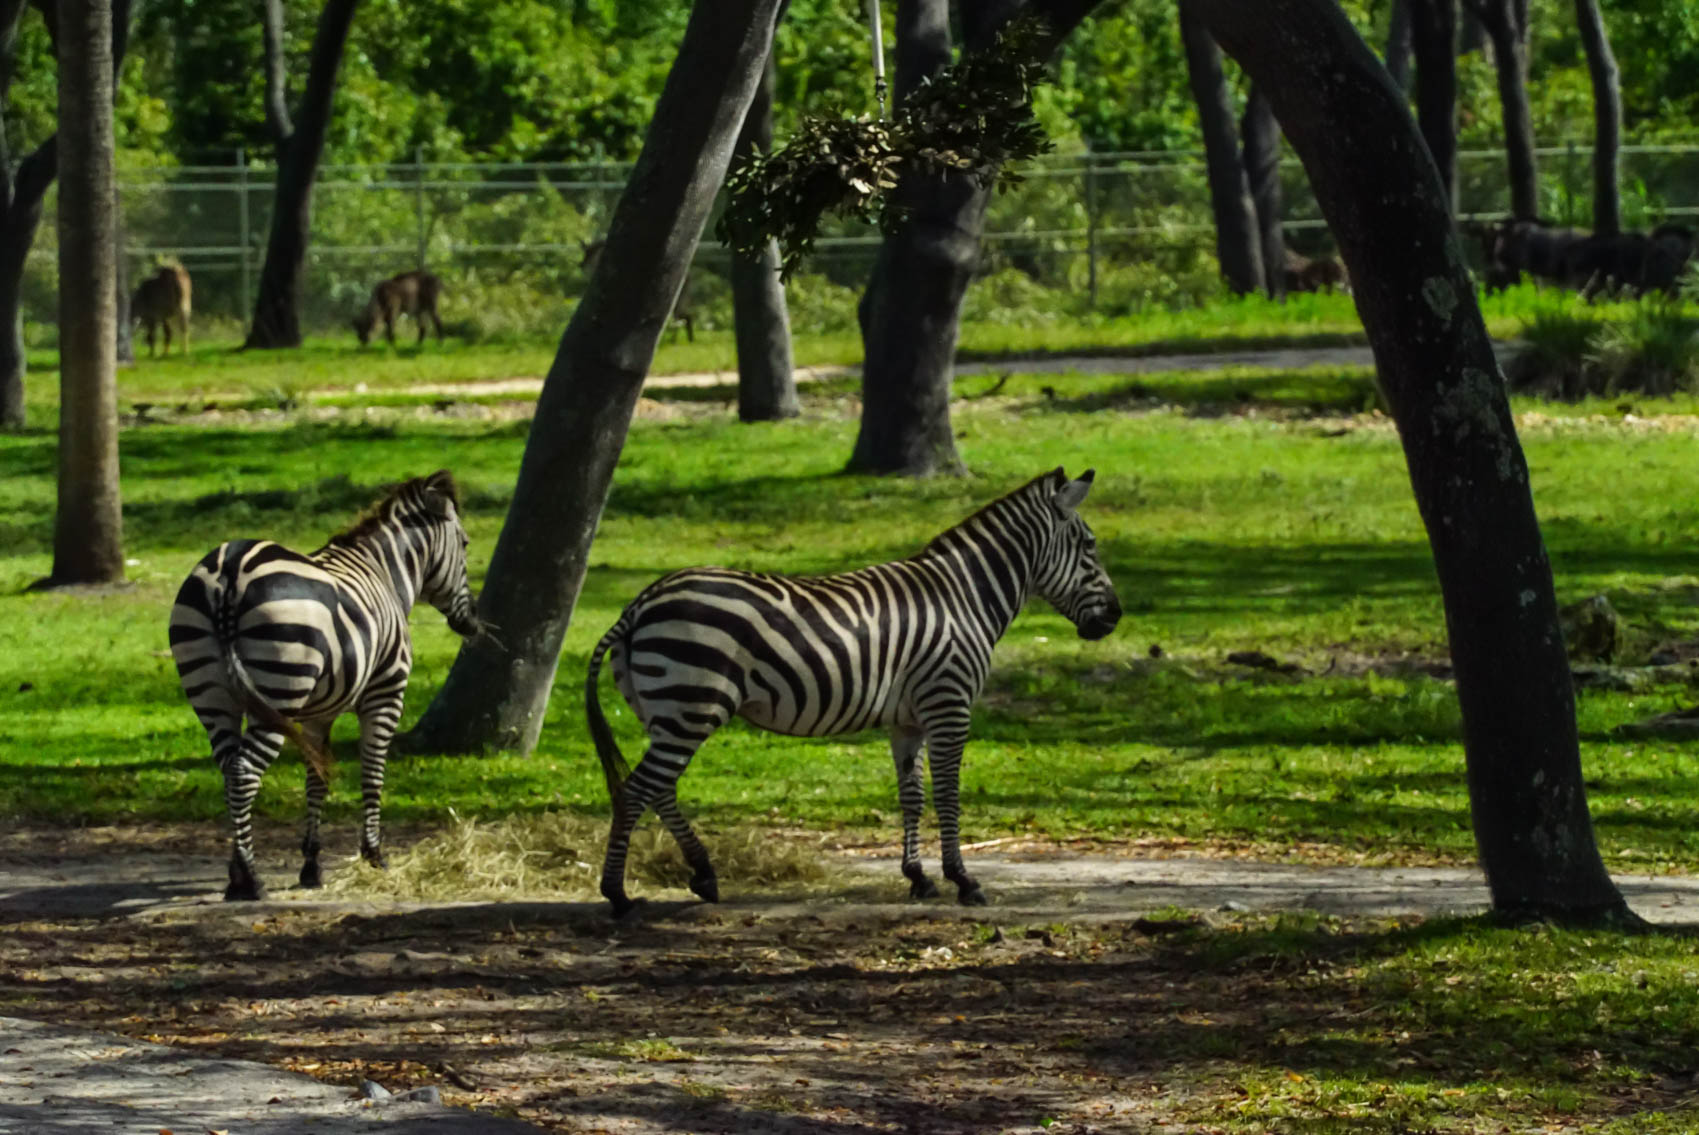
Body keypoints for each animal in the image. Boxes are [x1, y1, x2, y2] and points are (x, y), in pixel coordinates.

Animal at [167, 468, 485, 897]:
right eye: (465, 543)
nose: (471, 623)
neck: (385, 573)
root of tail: (230, 570)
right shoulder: (386, 694)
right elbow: (373, 771)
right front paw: (373, 854)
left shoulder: (318, 713)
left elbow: (316, 779)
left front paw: (311, 865)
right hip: (278, 690)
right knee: (244, 772)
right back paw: (250, 878)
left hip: (211, 695)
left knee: (228, 768)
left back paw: (236, 874)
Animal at [591, 465, 1121, 917]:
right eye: (1090, 547)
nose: (1116, 617)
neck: (964, 597)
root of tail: (641, 602)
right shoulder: (949, 704)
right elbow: (948, 794)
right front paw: (963, 880)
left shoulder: (909, 720)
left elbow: (912, 795)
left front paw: (918, 878)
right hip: (691, 707)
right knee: (637, 790)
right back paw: (618, 894)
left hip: (663, 713)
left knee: (660, 789)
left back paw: (703, 876)